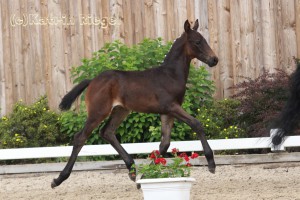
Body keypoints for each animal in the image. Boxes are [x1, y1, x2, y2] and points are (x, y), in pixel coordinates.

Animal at [51, 19, 219, 188]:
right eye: (197, 41)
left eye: (204, 40)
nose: (214, 59)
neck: (170, 75)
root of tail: (92, 81)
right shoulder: (171, 107)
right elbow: (196, 124)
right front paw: (211, 163)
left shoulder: (167, 112)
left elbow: (164, 143)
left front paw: (143, 178)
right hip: (98, 112)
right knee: (81, 137)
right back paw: (58, 179)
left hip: (120, 110)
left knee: (107, 132)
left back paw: (132, 169)